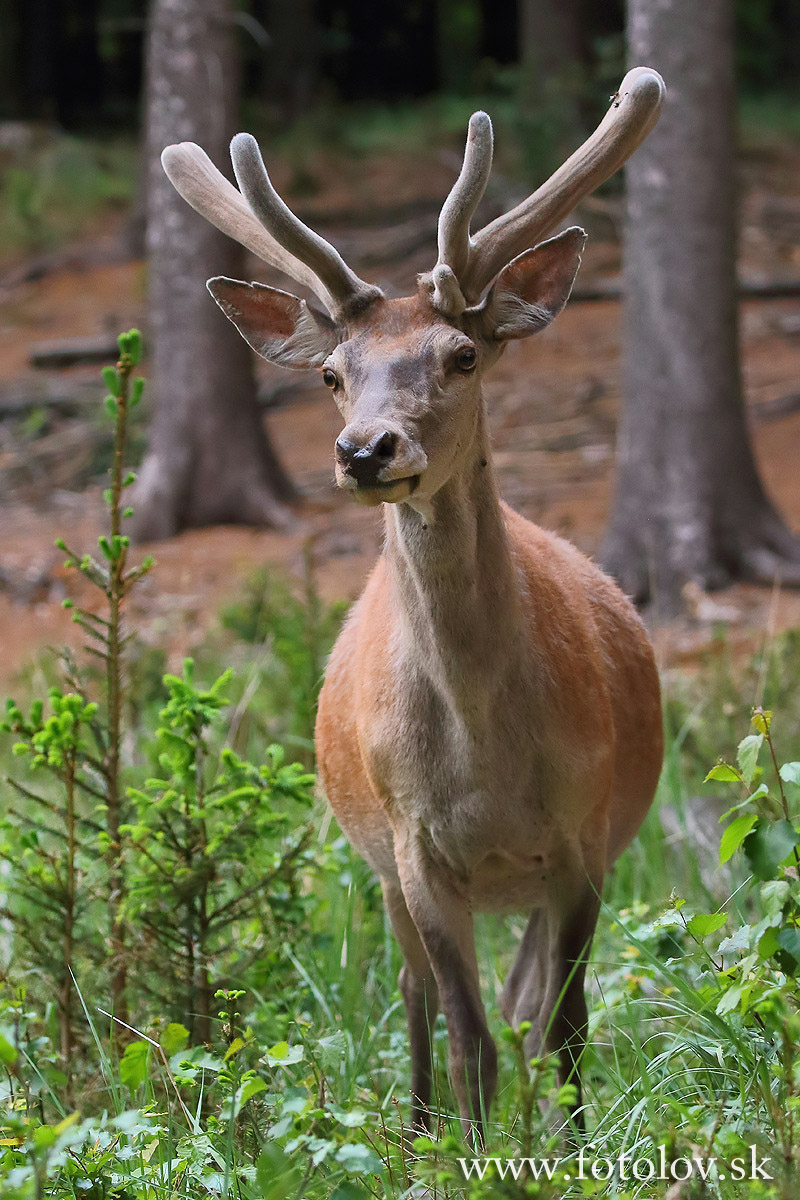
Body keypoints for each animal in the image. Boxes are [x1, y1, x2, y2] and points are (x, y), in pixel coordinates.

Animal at [160, 68, 662, 1142]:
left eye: (461, 354)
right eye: (330, 375)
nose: (365, 450)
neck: (487, 760)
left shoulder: (586, 831)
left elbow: (566, 1029)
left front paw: (574, 1151)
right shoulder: (414, 847)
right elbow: (469, 1036)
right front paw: (469, 1153)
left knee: (526, 1006)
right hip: (385, 870)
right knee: (417, 995)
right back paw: (424, 1131)